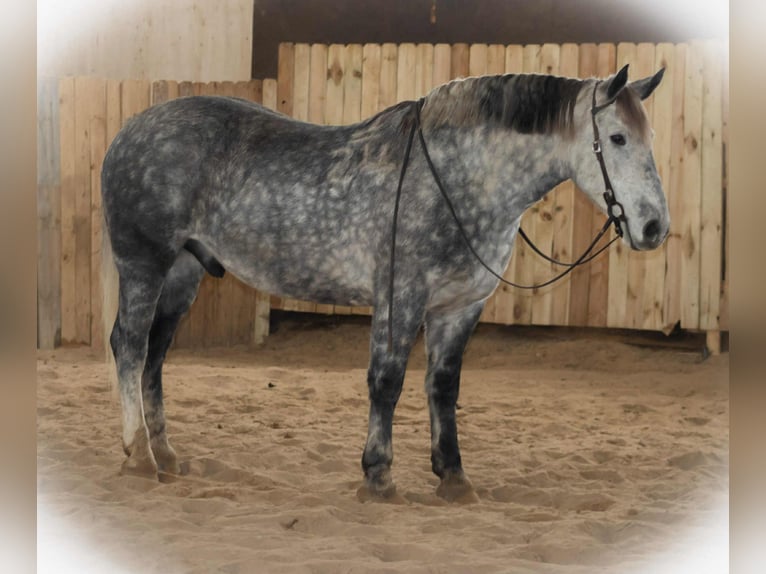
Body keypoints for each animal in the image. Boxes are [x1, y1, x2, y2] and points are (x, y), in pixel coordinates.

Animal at [102, 63, 668, 501]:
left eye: (650, 138)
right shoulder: (401, 297)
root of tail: (129, 131)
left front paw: (453, 478)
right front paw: (377, 477)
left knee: (155, 354)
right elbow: (387, 381)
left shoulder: (459, 308)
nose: (654, 227)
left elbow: (443, 386)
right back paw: (138, 456)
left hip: (184, 272)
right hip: (144, 264)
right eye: (617, 138)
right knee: (129, 345)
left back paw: (165, 453)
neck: (456, 180)